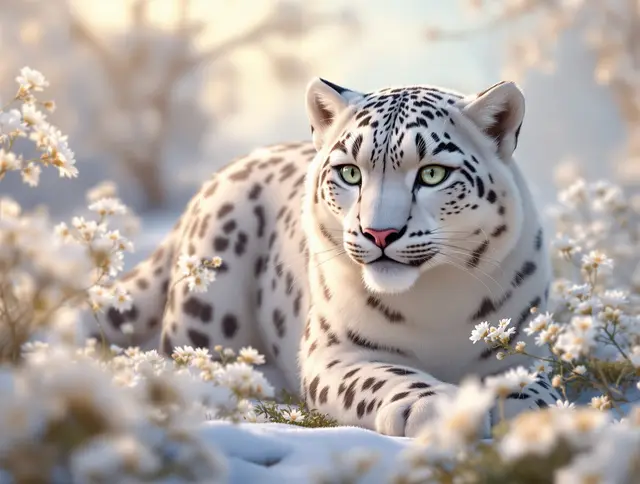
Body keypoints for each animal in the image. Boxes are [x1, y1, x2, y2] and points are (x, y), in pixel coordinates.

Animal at [92, 77, 561, 437]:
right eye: (350, 172)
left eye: (432, 173)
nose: (380, 232)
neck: (436, 298)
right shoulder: (335, 351)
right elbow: (381, 375)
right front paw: (433, 407)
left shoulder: (522, 341)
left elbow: (537, 382)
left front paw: (520, 404)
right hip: (206, 311)